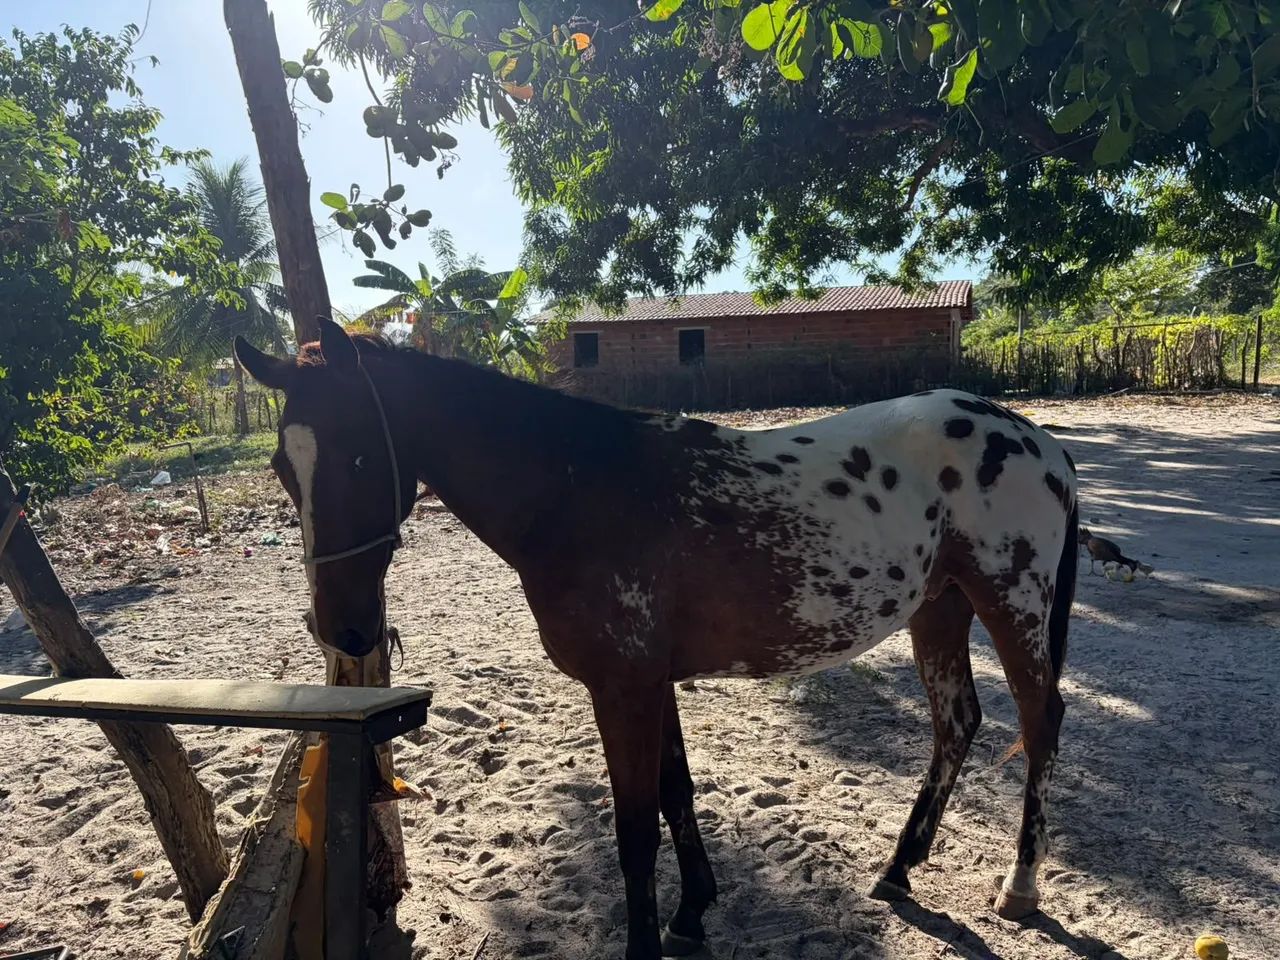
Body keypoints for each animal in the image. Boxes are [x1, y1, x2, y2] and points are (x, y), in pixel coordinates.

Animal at [235, 319, 1079, 960]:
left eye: (357, 454)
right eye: (281, 464)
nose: (342, 627)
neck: (577, 489)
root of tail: (1036, 440)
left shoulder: (625, 689)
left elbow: (635, 829)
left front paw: (651, 938)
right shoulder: (652, 682)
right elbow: (677, 792)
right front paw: (692, 912)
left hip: (1011, 605)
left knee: (1040, 723)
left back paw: (1019, 886)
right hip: (939, 609)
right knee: (957, 723)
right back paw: (900, 867)